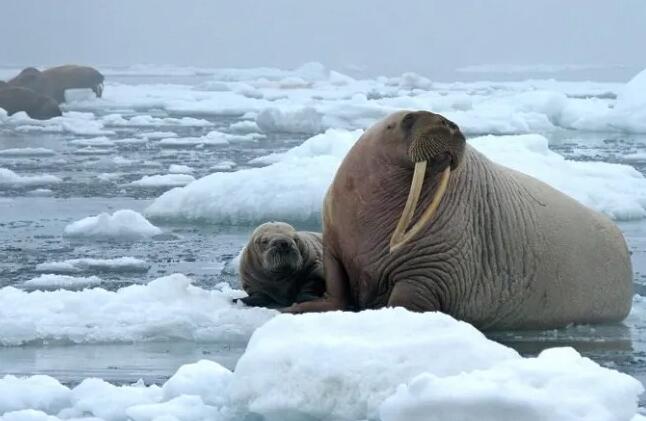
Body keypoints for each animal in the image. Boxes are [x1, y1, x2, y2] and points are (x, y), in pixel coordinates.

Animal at [288, 110, 632, 330]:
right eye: (408, 119)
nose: (450, 124)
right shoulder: (335, 243)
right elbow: (337, 286)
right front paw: (298, 307)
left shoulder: (432, 268)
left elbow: (407, 299)